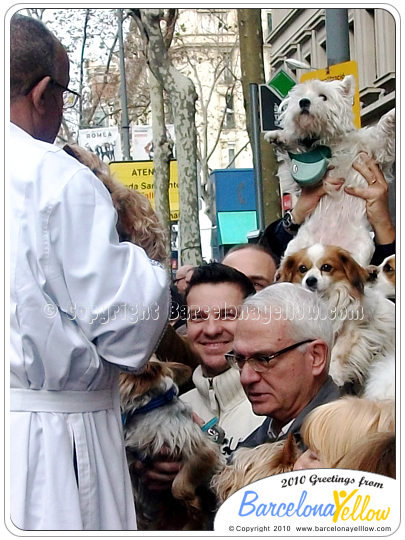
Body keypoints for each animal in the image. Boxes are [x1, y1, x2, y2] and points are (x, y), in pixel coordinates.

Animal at [266, 76, 394, 268]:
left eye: (323, 96)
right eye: (300, 96)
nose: (304, 102)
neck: (331, 142)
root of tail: (324, 249)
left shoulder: (374, 152)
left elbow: (382, 132)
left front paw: (392, 115)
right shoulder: (298, 172)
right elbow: (294, 155)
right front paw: (279, 136)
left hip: (358, 250)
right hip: (296, 247)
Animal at [278, 244, 394, 392]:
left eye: (326, 267)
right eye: (302, 269)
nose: (310, 280)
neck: (324, 300)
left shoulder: (351, 331)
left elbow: (337, 354)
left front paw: (334, 376)